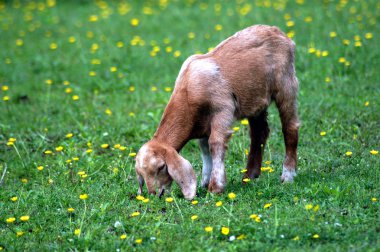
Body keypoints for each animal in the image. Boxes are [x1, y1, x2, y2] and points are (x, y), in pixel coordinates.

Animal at [136, 24, 300, 200]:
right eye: (141, 173)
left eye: (161, 167)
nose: (154, 194)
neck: (189, 91)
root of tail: (278, 32)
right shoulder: (202, 123)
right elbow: (204, 148)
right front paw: (205, 181)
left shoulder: (223, 109)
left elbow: (215, 144)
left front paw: (215, 186)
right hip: (256, 99)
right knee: (259, 133)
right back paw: (249, 176)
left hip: (286, 83)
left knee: (290, 127)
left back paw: (288, 175)